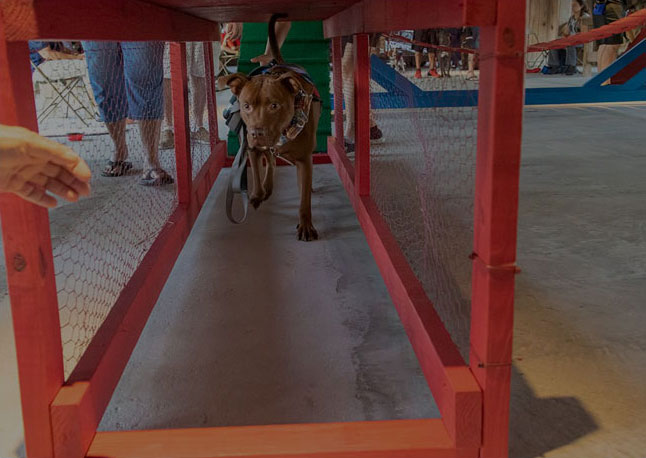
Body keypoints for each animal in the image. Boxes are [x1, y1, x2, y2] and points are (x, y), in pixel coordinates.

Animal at [221, 14, 321, 241]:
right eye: (246, 105)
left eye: (274, 105)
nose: (256, 132)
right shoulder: (252, 148)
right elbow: (257, 174)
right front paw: (258, 194)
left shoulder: (304, 160)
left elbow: (304, 199)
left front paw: (306, 225)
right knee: (271, 161)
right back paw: (266, 187)